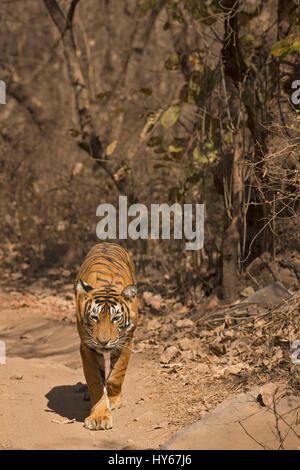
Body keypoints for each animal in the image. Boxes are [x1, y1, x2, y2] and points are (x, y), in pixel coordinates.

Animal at [74, 242, 138, 430]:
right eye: (94, 317)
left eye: (116, 318)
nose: (103, 342)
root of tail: (107, 242)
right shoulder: (87, 346)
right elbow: (95, 381)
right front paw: (99, 417)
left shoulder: (126, 341)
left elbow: (117, 374)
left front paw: (114, 400)